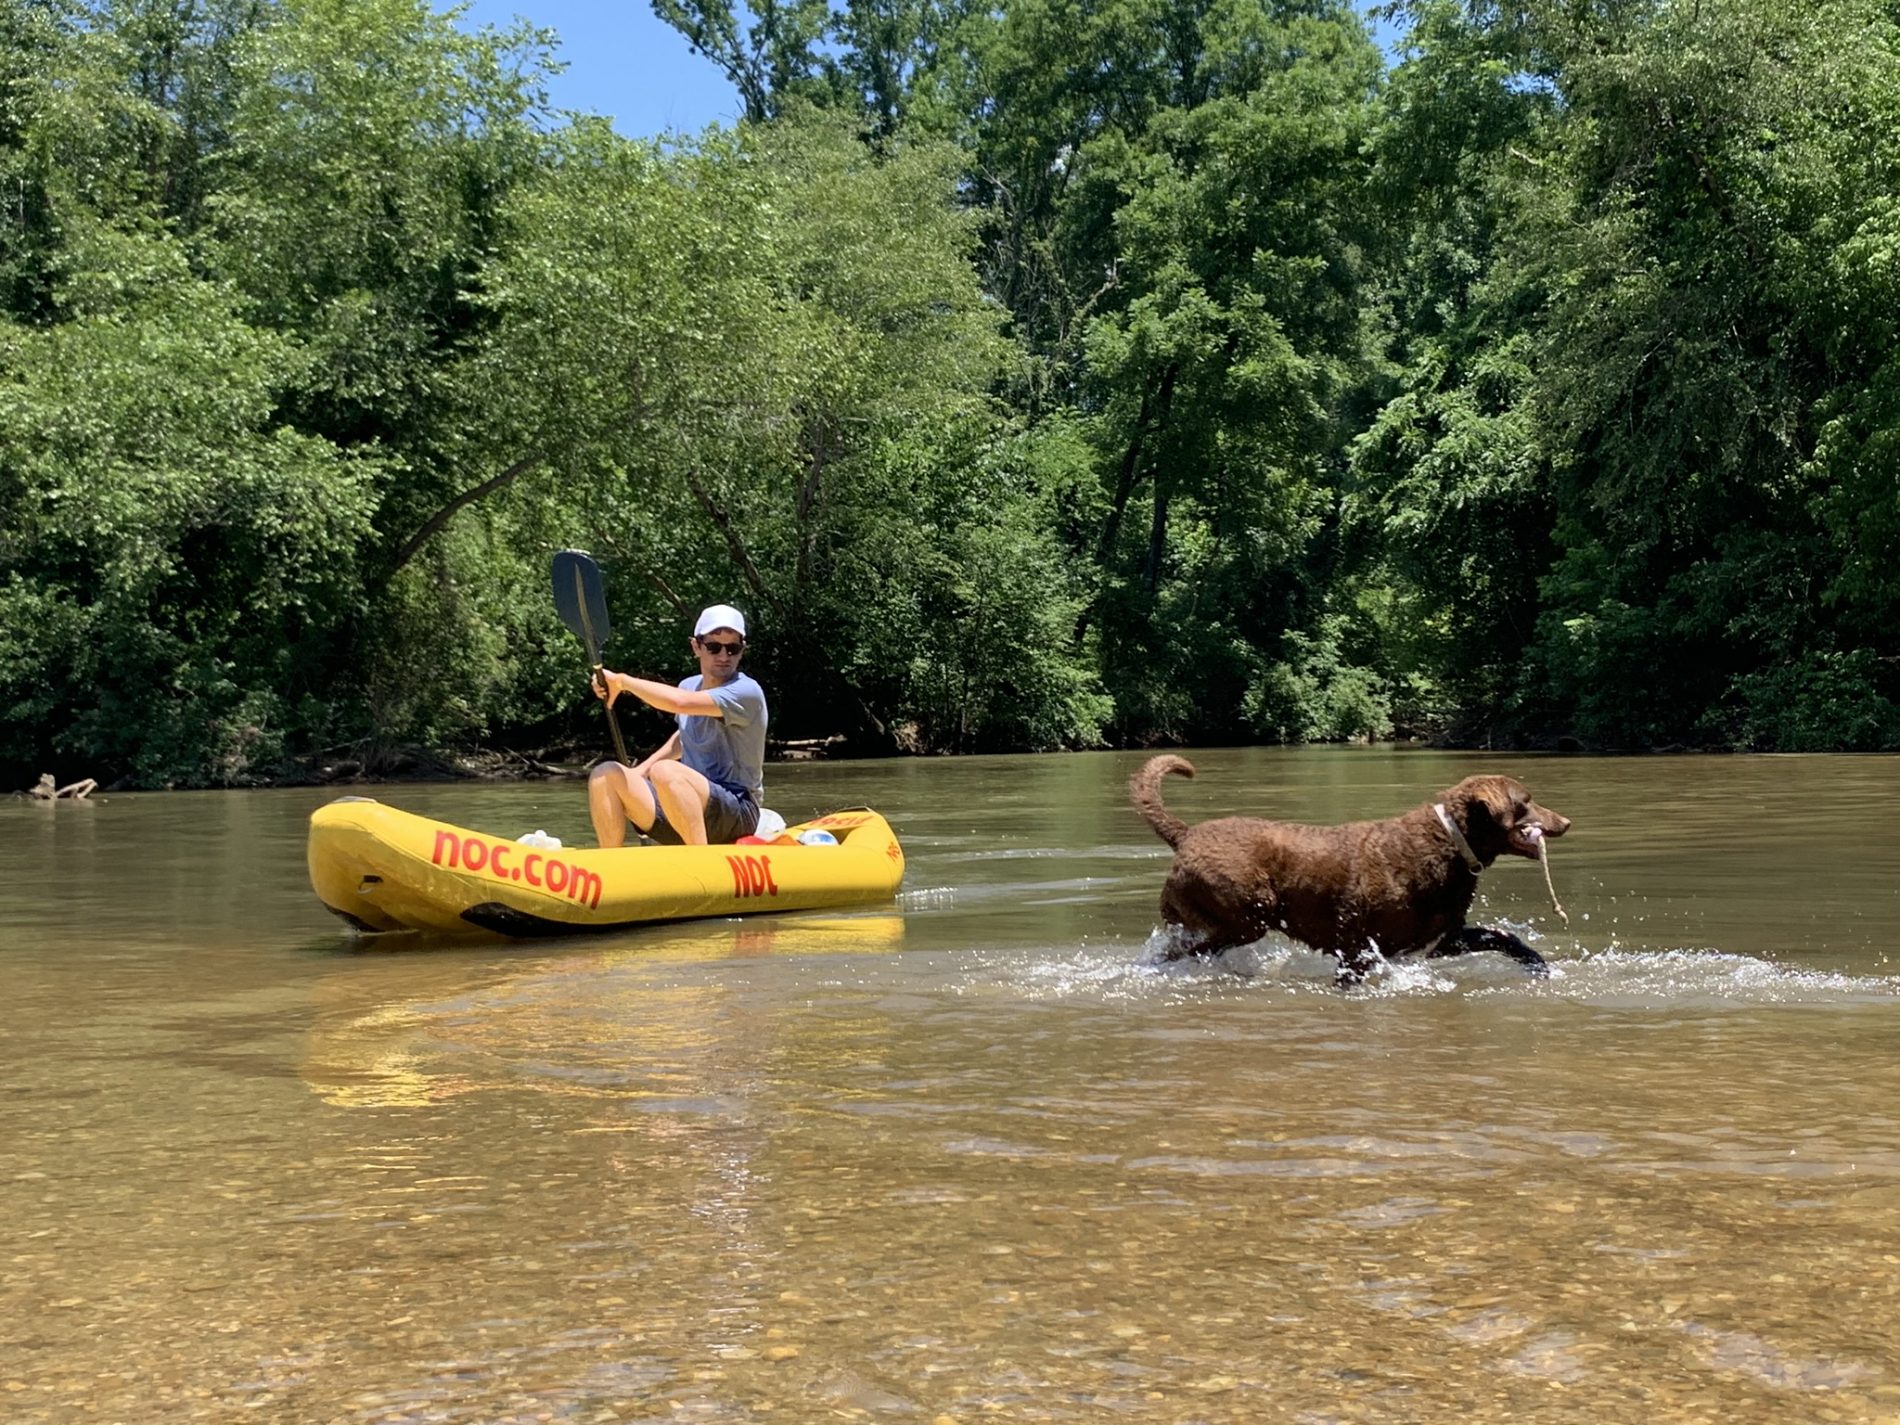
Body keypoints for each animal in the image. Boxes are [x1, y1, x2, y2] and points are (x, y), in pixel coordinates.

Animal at [1124, 763, 1573, 988]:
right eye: (1526, 802)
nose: (1566, 822)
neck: (1447, 843)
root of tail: (1186, 834)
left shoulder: (1438, 939)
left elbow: (1502, 937)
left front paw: (1539, 967)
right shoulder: (1357, 949)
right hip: (1244, 915)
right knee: (1182, 951)